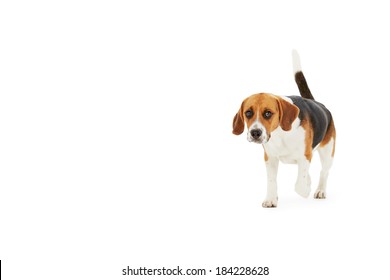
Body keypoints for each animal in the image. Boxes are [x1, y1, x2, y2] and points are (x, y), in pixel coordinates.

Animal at [232, 50, 336, 208]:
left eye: (268, 113)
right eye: (248, 113)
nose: (255, 133)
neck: (280, 134)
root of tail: (318, 103)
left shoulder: (305, 156)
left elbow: (299, 185)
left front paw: (305, 189)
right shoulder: (270, 158)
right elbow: (271, 181)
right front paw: (271, 199)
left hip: (327, 152)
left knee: (324, 172)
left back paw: (320, 190)